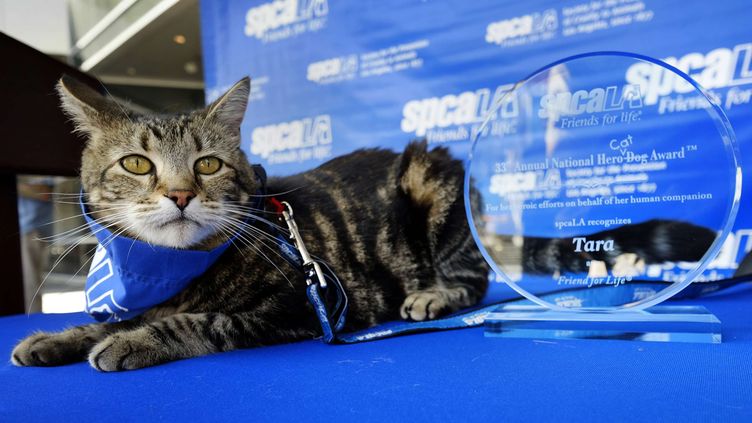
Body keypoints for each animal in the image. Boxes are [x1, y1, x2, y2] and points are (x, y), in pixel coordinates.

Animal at [13, 76, 494, 372]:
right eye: (135, 163)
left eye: (207, 164)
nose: (180, 195)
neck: (171, 268)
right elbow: (112, 321)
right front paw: (57, 338)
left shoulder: (306, 304)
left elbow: (201, 321)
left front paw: (133, 341)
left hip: (430, 179)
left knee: (475, 278)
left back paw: (432, 295)